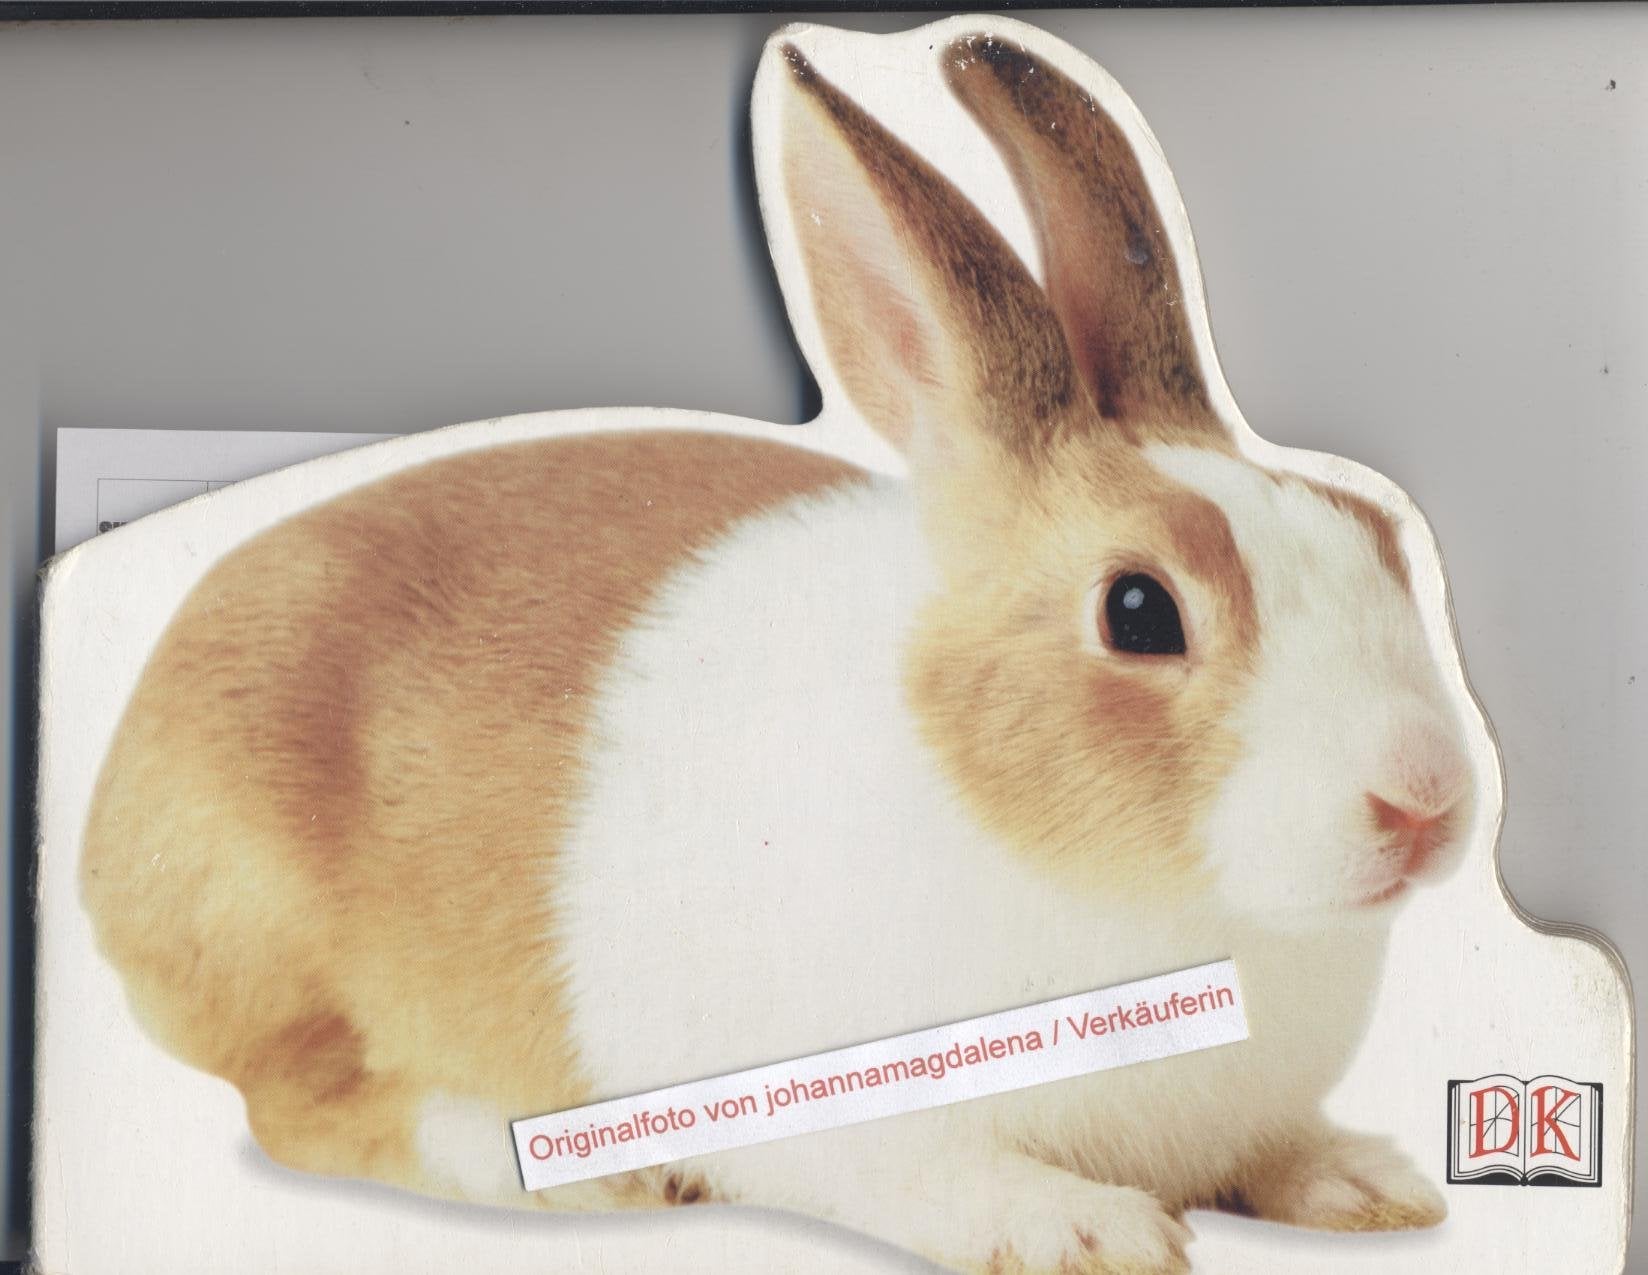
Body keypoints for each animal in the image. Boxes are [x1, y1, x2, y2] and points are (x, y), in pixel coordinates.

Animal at [78, 17, 1480, 1275]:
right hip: (266, 940)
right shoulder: (846, 1118)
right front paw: (1086, 1232)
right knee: (303, 1105)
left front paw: (1367, 1186)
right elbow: (938, 1175)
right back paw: (568, 1173)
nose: (1423, 803)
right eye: (1138, 612)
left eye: (1376, 532)